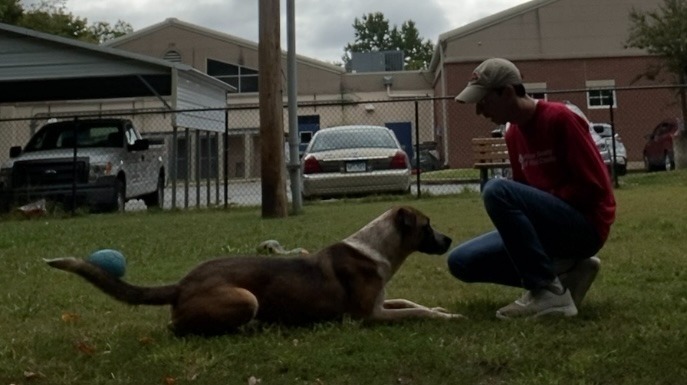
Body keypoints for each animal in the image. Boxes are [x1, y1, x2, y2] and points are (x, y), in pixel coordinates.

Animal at [45, 206, 464, 334]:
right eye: (427, 226)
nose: (449, 240)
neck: (376, 247)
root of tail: (181, 284)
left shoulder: (381, 303)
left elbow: (412, 303)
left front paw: (441, 309)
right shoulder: (367, 316)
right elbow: (415, 312)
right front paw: (446, 316)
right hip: (245, 298)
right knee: (178, 327)